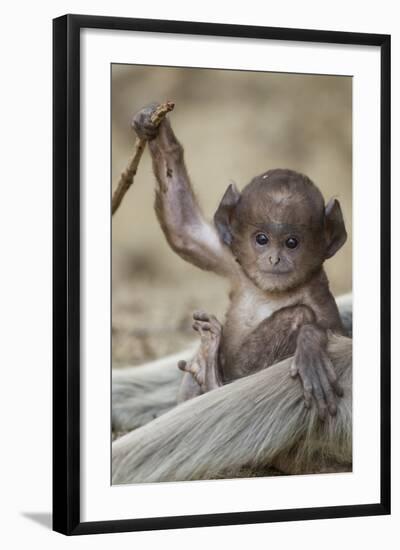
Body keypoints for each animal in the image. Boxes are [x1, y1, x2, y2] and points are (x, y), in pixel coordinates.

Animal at [134, 104, 346, 422]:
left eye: (291, 243)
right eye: (261, 239)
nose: (274, 257)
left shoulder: (319, 294)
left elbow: (339, 337)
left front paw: (311, 344)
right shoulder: (235, 262)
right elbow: (184, 230)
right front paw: (153, 126)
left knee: (298, 314)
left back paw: (212, 378)